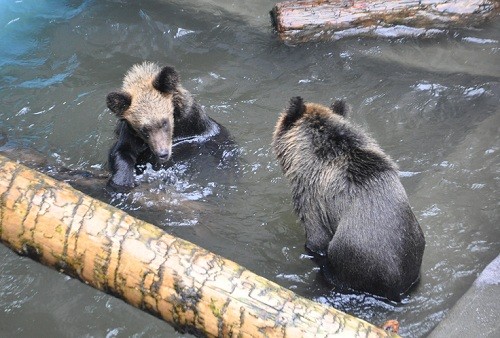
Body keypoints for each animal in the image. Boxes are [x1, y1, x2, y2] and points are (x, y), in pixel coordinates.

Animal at [106, 62, 234, 191]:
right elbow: (121, 152)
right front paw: (122, 181)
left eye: (164, 122)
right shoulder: (129, 134)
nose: (162, 154)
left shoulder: (197, 128)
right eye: (143, 129)